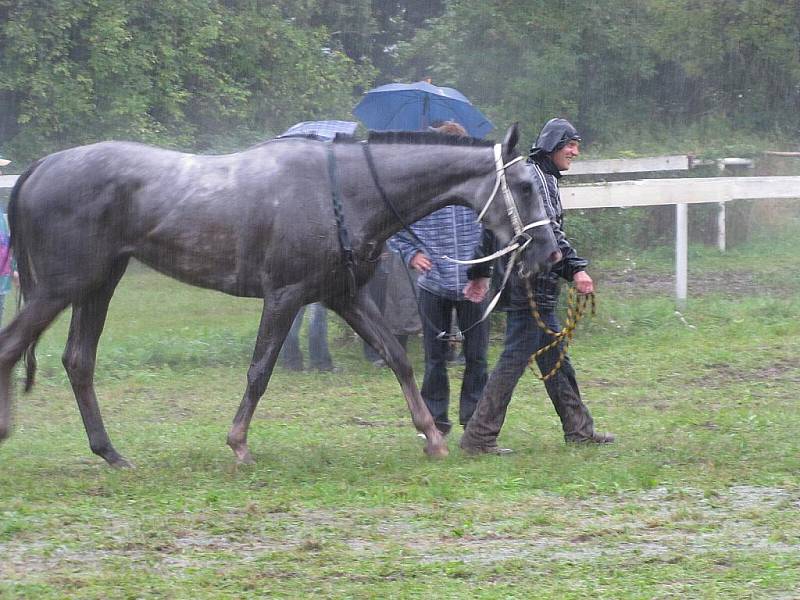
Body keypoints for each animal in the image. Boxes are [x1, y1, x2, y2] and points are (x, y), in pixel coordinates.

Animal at [0, 124, 560, 466]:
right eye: (525, 186)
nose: (550, 253)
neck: (344, 192)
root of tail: (39, 168)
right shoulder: (285, 297)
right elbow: (260, 370)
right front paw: (239, 444)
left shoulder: (344, 296)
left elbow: (398, 357)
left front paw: (433, 436)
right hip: (60, 288)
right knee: (14, 348)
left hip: (98, 284)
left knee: (78, 360)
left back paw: (110, 452)